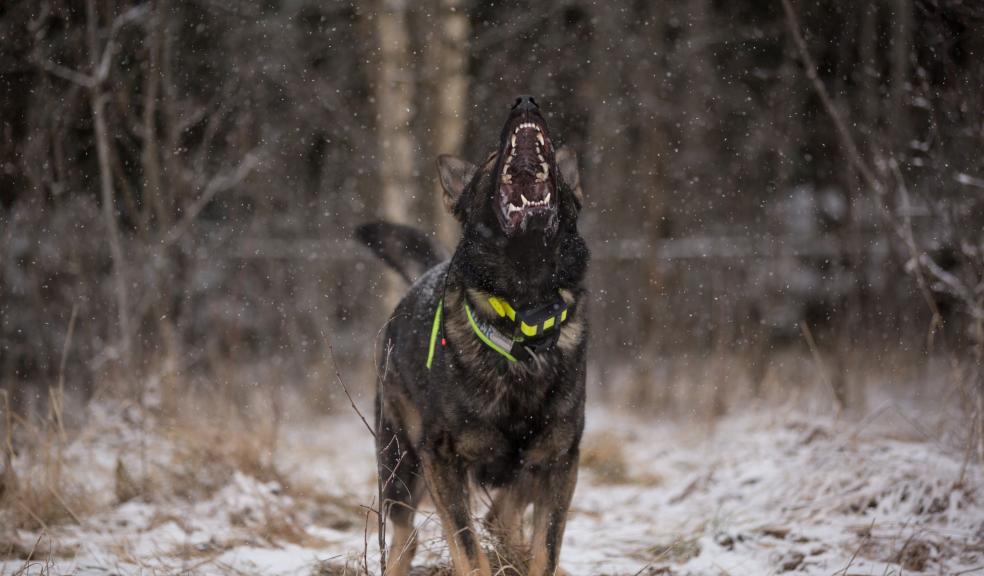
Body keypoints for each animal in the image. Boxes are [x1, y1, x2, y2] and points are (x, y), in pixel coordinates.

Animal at [360, 95, 592, 576]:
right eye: (489, 156)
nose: (526, 101)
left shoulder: (560, 460)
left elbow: (546, 547)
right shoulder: (441, 458)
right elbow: (468, 547)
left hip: (525, 466)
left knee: (501, 516)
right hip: (400, 465)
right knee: (406, 536)